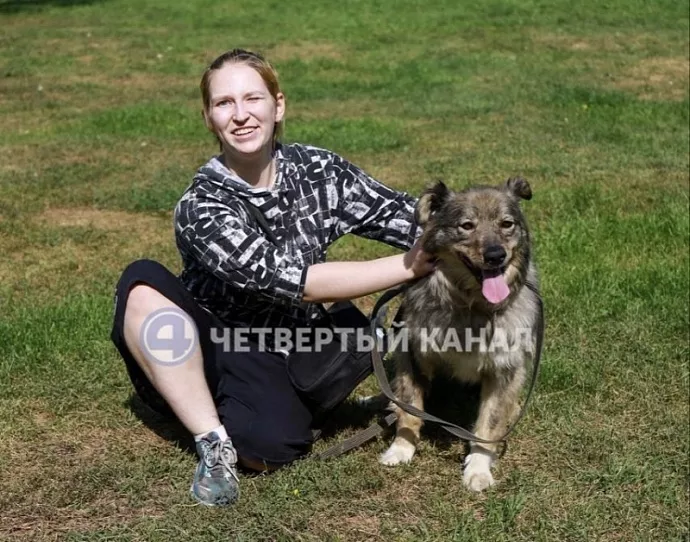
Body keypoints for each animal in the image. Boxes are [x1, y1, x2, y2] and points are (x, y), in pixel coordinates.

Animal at [378, 177, 540, 492]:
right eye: (467, 225)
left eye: (506, 224)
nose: (495, 255)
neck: (470, 306)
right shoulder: (412, 353)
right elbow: (410, 409)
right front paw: (400, 450)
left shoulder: (503, 368)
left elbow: (488, 425)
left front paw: (478, 469)